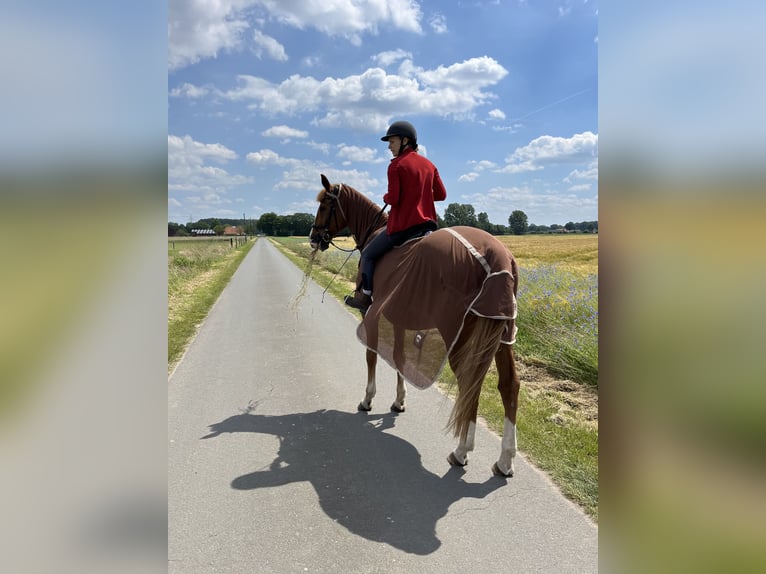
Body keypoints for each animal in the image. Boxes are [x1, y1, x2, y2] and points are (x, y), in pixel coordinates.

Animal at [310, 174, 520, 476]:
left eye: (325, 204)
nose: (313, 238)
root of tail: (495, 257)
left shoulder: (369, 312)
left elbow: (372, 355)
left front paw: (368, 399)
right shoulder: (399, 316)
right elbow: (398, 357)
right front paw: (399, 401)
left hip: (460, 334)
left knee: (470, 385)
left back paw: (462, 451)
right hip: (503, 334)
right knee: (509, 385)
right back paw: (505, 460)